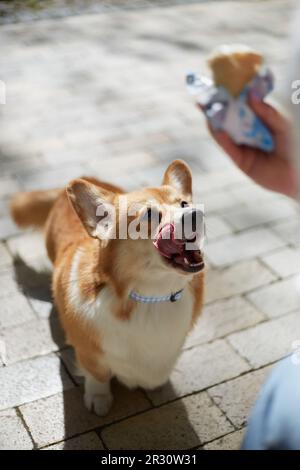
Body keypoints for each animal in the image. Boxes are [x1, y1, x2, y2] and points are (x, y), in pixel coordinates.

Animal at [11, 161, 204, 414]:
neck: (152, 296)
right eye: (150, 214)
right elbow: (98, 374)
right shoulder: (89, 351)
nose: (196, 214)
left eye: (184, 204)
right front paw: (99, 398)